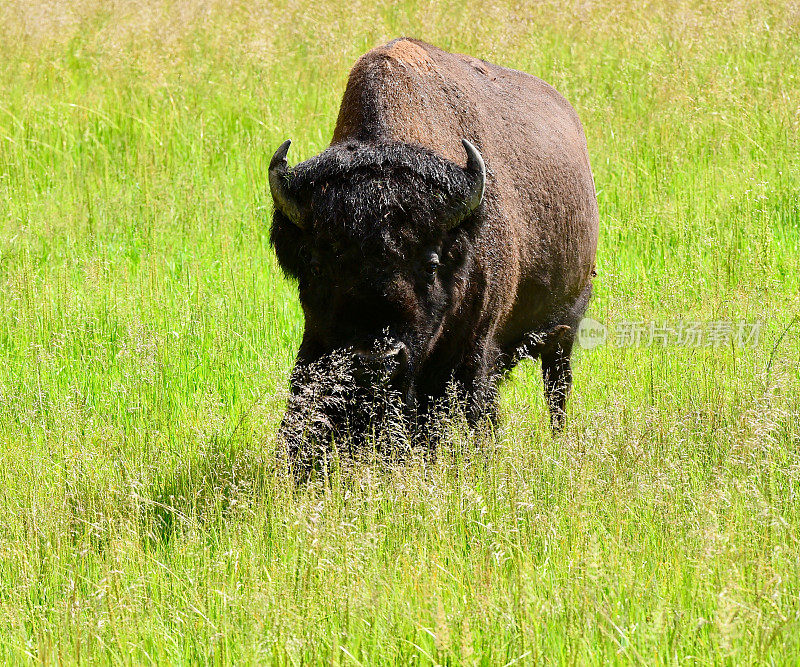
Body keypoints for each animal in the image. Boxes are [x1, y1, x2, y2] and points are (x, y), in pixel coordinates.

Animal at [272, 39, 596, 462]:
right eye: (316, 266)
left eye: (430, 264)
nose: (374, 361)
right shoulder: (317, 344)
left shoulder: (476, 346)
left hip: (564, 332)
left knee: (556, 390)